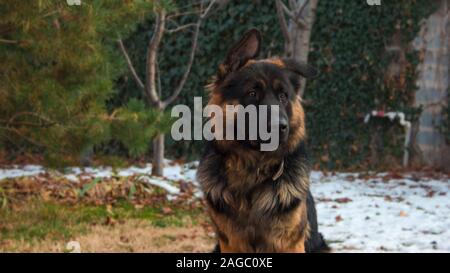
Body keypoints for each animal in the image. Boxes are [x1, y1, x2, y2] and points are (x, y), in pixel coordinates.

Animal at [197, 28, 326, 252]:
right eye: (252, 93)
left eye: (283, 96)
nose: (280, 127)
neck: (252, 170)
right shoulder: (230, 242)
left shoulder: (290, 243)